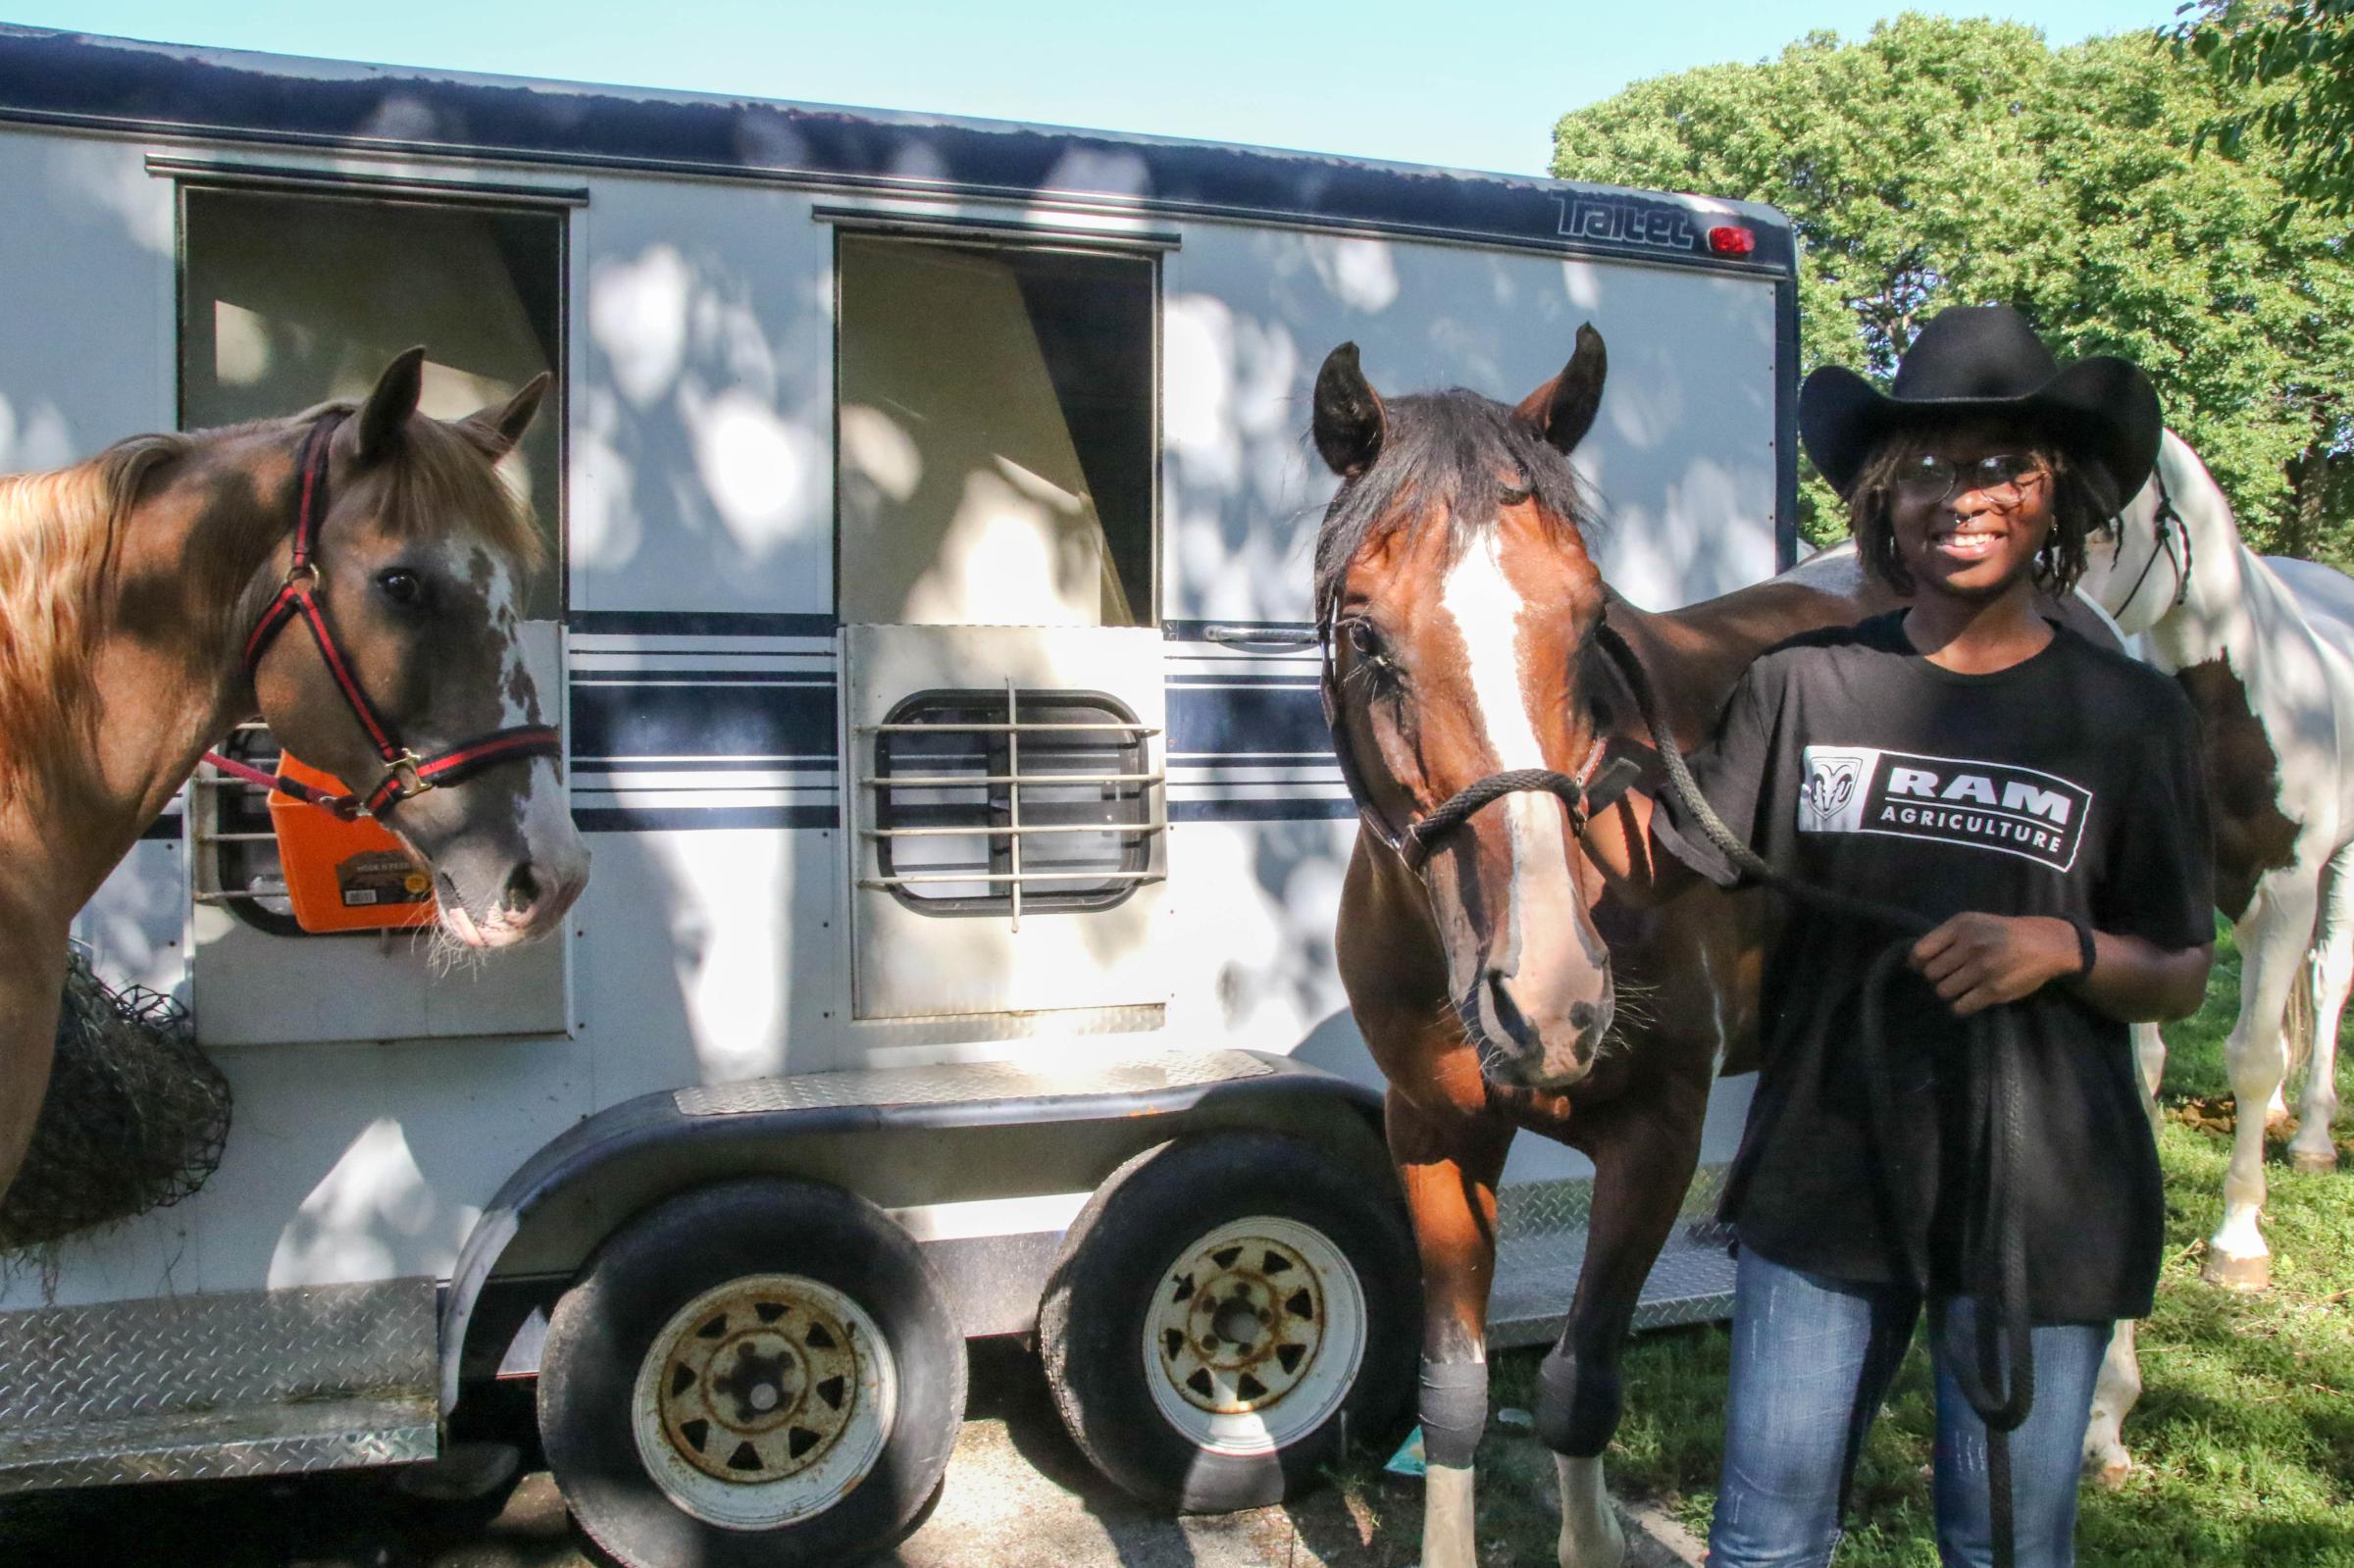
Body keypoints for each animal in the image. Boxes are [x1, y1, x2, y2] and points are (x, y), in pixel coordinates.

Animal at [1327, 331, 1892, 1563]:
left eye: (1592, 621)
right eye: (1364, 634)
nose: (1549, 1000)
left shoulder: (1654, 1140)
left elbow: (1578, 1389)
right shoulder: (1433, 1132)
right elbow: (1454, 1391)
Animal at [2080, 430, 2354, 1478]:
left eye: (2099, 517)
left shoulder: (2284, 890)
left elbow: (2250, 1055)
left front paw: (2239, 1241)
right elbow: (2147, 1070)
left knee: (2325, 984)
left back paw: (2310, 1136)